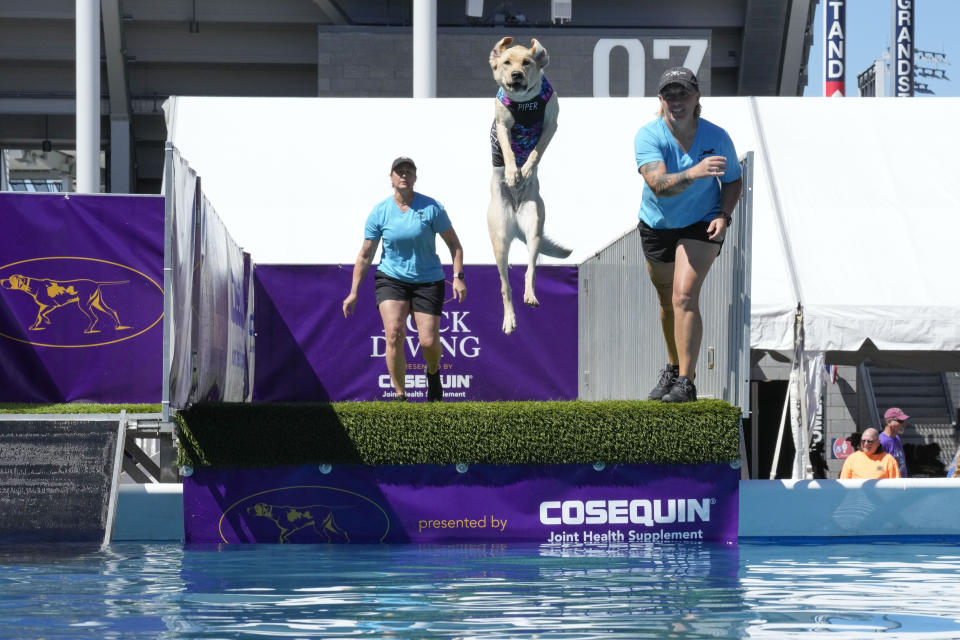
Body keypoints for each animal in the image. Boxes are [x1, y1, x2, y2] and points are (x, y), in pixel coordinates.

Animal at [488, 36, 568, 336]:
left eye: (526, 62)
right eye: (506, 62)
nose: (516, 75)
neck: (524, 103)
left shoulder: (551, 124)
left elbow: (535, 151)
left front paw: (526, 170)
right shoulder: (502, 125)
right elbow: (510, 151)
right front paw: (513, 173)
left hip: (534, 224)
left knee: (530, 269)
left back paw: (531, 294)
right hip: (499, 240)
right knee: (504, 287)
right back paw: (509, 319)